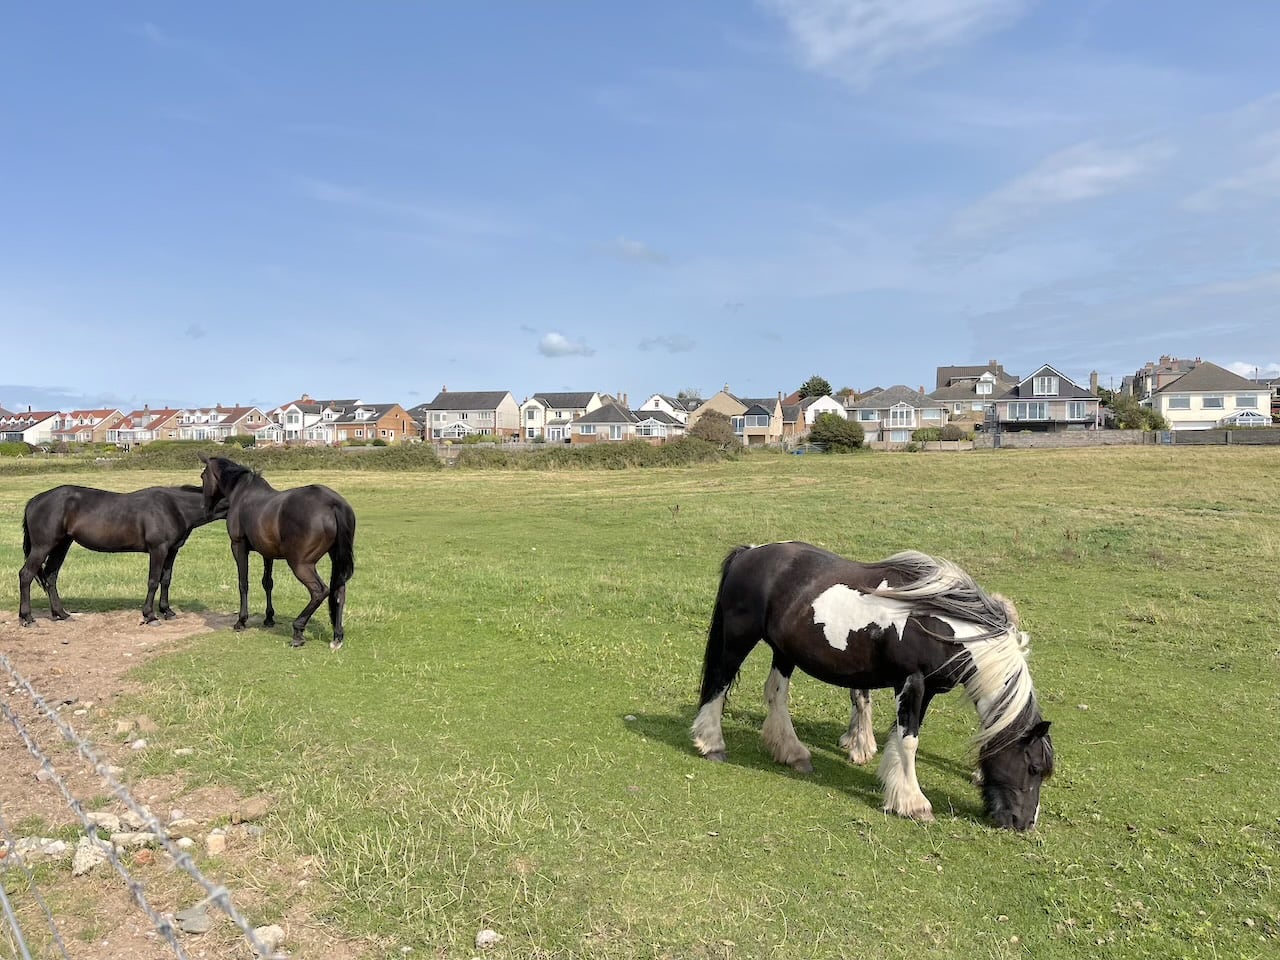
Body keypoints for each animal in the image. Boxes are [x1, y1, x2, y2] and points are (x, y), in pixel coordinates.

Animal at [18, 483, 229, 627]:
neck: (174, 507)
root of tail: (34, 501)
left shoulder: (172, 551)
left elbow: (166, 580)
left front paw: (167, 611)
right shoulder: (158, 549)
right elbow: (153, 581)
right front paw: (150, 616)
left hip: (61, 545)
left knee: (51, 576)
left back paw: (61, 614)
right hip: (42, 547)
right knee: (26, 575)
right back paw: (28, 618)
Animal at [199, 455, 360, 650]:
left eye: (202, 476)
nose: (205, 508)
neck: (243, 494)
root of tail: (334, 504)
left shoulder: (238, 546)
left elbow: (243, 583)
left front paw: (241, 621)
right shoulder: (267, 553)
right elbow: (267, 583)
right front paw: (269, 618)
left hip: (300, 564)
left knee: (319, 591)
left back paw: (298, 631)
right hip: (336, 558)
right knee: (339, 592)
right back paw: (337, 636)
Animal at [696, 545, 1054, 829]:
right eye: (1033, 767)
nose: (1024, 824)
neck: (940, 624)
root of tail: (749, 553)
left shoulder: (924, 690)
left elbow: (901, 736)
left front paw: (893, 788)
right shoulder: (912, 682)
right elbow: (909, 741)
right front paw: (914, 804)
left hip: (784, 652)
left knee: (776, 695)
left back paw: (792, 753)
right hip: (738, 639)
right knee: (719, 683)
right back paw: (711, 744)